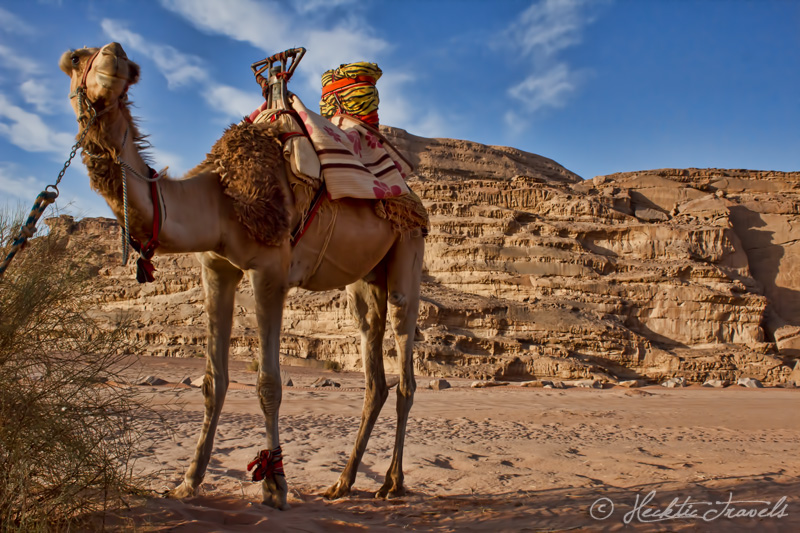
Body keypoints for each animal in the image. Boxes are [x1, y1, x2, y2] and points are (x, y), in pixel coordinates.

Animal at [60, 40, 424, 508]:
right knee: (373, 372)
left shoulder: (270, 268)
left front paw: (274, 485)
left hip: (408, 247)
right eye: (73, 59)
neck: (219, 197)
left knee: (404, 365)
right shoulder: (216, 268)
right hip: (363, 278)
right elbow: (213, 382)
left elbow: (269, 383)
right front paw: (188, 481)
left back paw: (391, 483)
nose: (114, 57)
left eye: (125, 64)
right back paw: (342, 483)